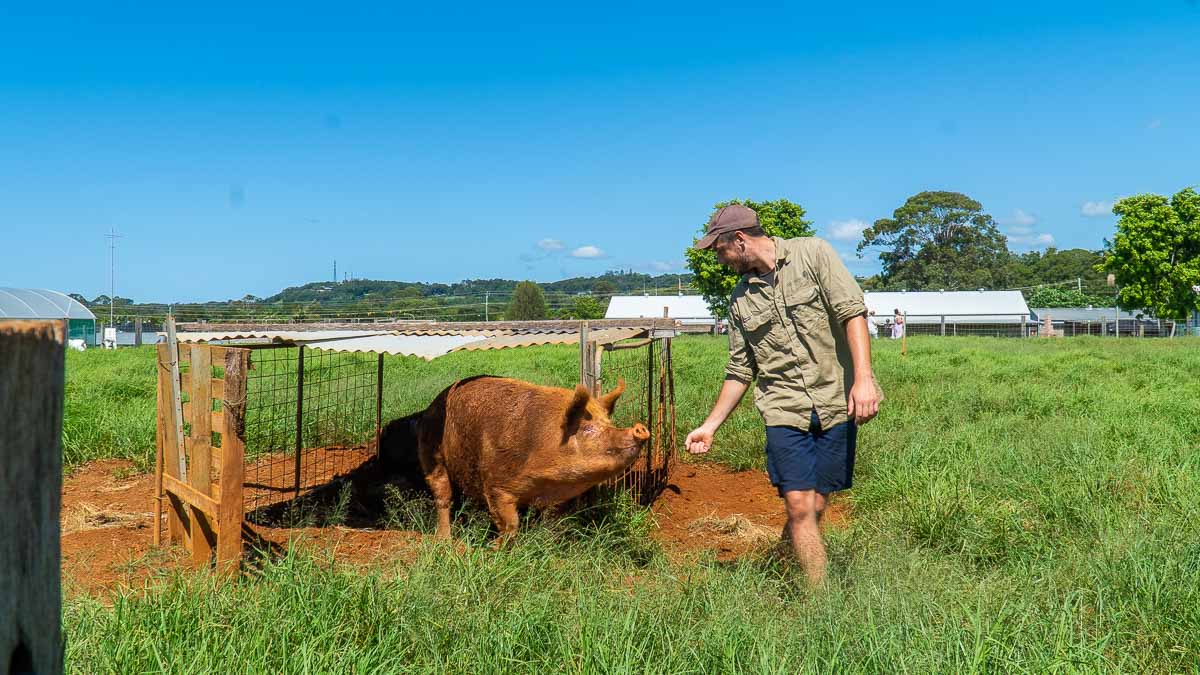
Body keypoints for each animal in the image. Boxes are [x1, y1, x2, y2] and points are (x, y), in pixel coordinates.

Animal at [420, 374, 652, 538]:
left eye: (609, 423)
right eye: (587, 428)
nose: (640, 428)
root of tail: (430, 407)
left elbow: (552, 519)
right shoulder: (495, 483)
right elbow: (510, 522)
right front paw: (496, 550)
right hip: (432, 456)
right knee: (443, 498)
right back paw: (444, 541)